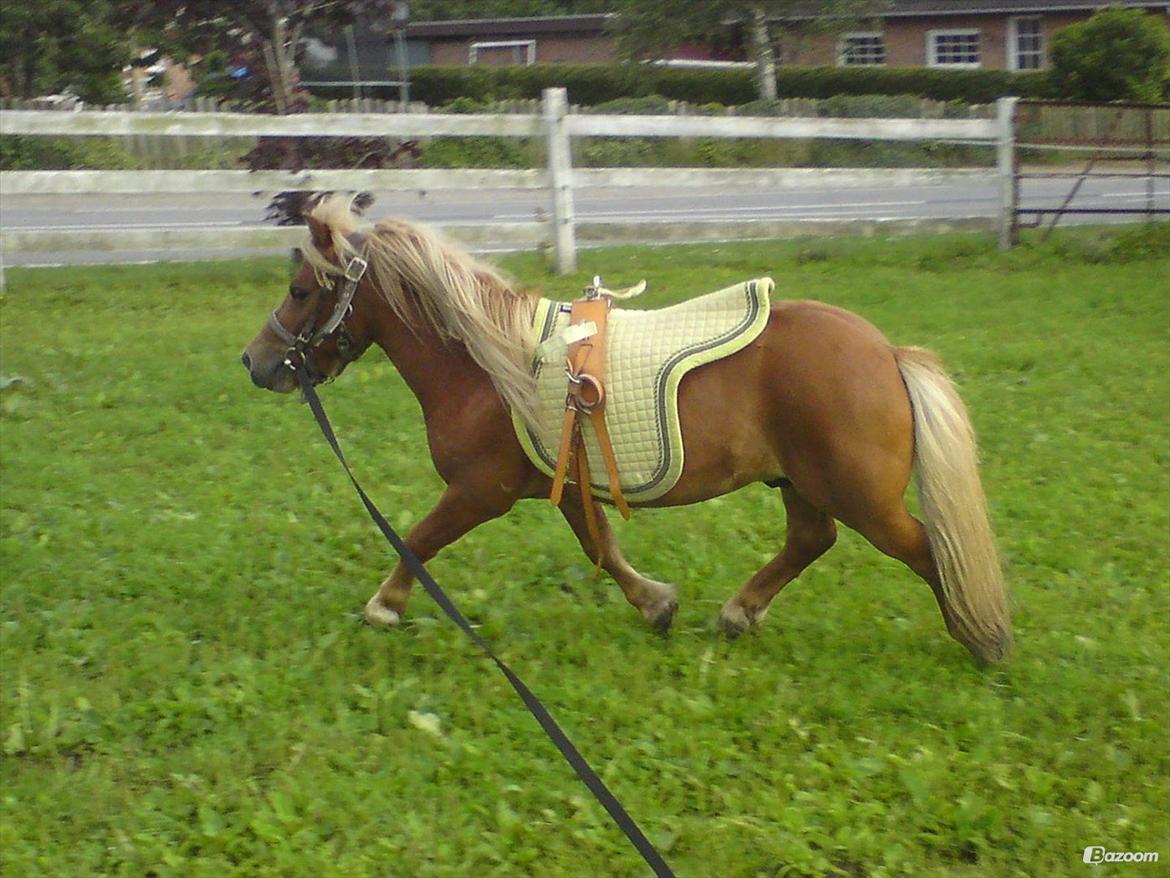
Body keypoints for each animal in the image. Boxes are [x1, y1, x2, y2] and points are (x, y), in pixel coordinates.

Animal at [241, 194, 1012, 663]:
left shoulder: (480, 491)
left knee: (927, 549)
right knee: (811, 539)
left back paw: (981, 638)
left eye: (302, 291)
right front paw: (657, 605)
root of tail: (886, 353)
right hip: (800, 481)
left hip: (860, 496)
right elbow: (603, 549)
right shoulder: (563, 486)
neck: (492, 364)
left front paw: (384, 607)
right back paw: (738, 613)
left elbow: (419, 538)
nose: (257, 362)